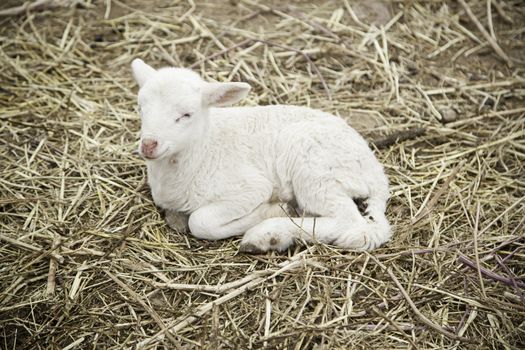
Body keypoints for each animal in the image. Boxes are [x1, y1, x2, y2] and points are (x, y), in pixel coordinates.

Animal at [131, 58, 390, 253]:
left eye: (186, 114)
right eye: (141, 108)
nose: (149, 145)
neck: (204, 148)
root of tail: (377, 175)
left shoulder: (250, 188)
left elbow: (200, 221)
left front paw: (269, 211)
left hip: (313, 170)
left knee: (351, 223)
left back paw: (267, 233)